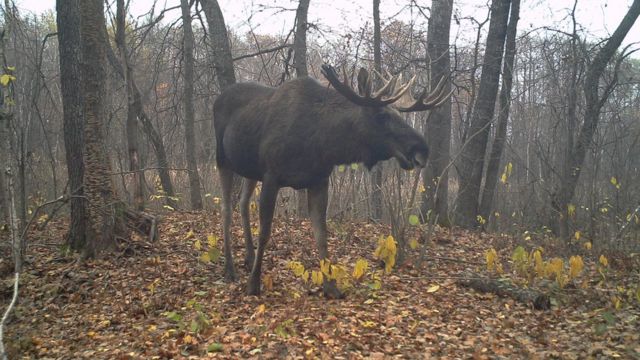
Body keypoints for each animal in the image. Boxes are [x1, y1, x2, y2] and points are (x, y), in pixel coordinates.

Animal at [212, 64, 448, 298]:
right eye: (382, 115)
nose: (422, 149)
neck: (323, 143)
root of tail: (218, 98)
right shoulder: (271, 176)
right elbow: (264, 232)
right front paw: (253, 284)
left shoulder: (319, 180)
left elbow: (322, 234)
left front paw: (331, 286)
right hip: (223, 160)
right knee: (226, 210)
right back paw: (230, 268)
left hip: (250, 170)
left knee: (242, 203)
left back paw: (249, 258)